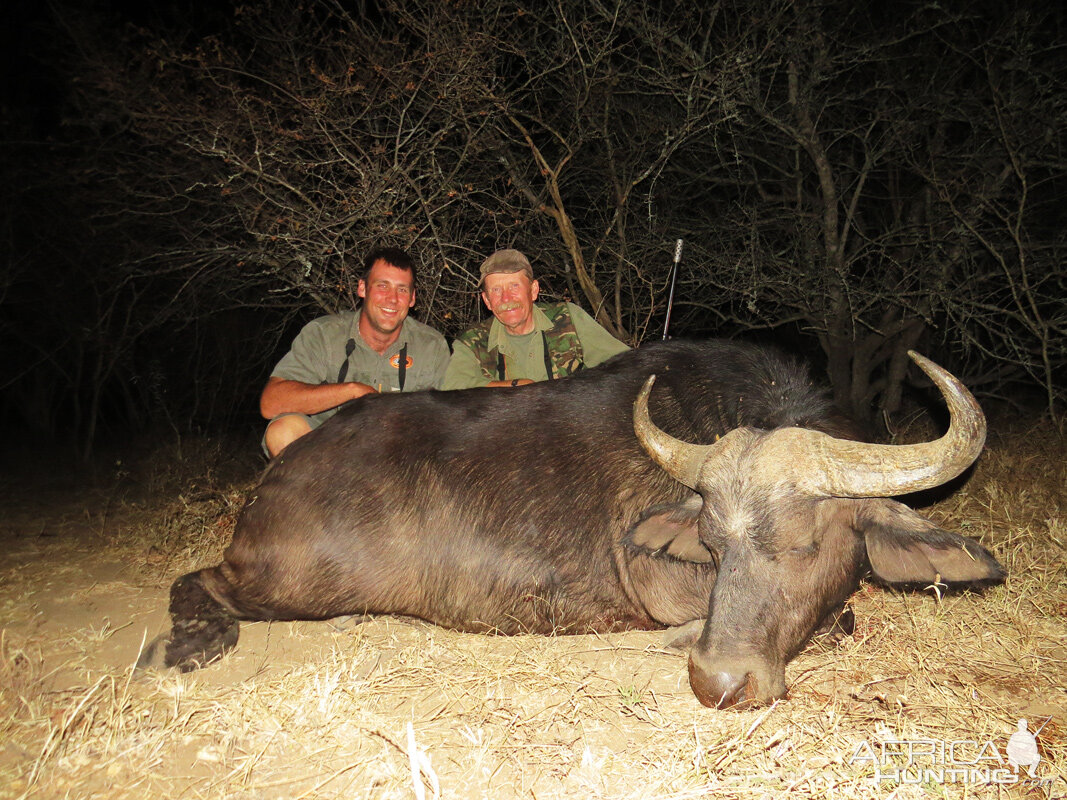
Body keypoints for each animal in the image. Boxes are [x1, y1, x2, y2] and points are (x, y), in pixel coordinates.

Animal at [144, 341, 1007, 712]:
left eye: (803, 544)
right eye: (714, 544)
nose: (717, 681)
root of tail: (274, 481)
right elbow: (839, 619)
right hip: (288, 581)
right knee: (197, 580)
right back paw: (185, 644)